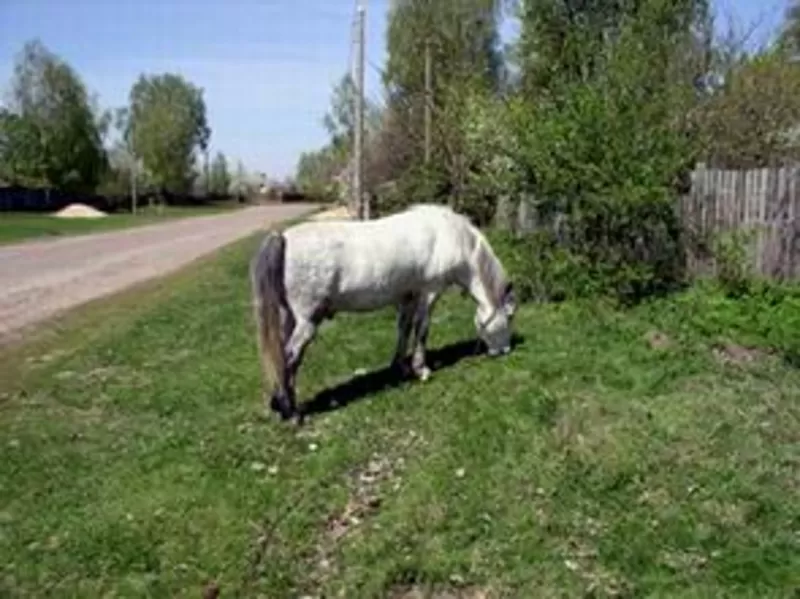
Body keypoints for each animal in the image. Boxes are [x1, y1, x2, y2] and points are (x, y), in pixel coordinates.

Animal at [247, 204, 516, 420]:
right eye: (510, 317)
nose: (504, 351)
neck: (449, 235)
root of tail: (283, 238)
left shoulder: (408, 297)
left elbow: (404, 329)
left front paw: (401, 368)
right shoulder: (429, 292)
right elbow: (422, 329)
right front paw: (421, 369)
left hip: (289, 318)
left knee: (282, 355)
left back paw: (282, 404)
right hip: (307, 322)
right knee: (290, 357)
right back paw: (291, 411)